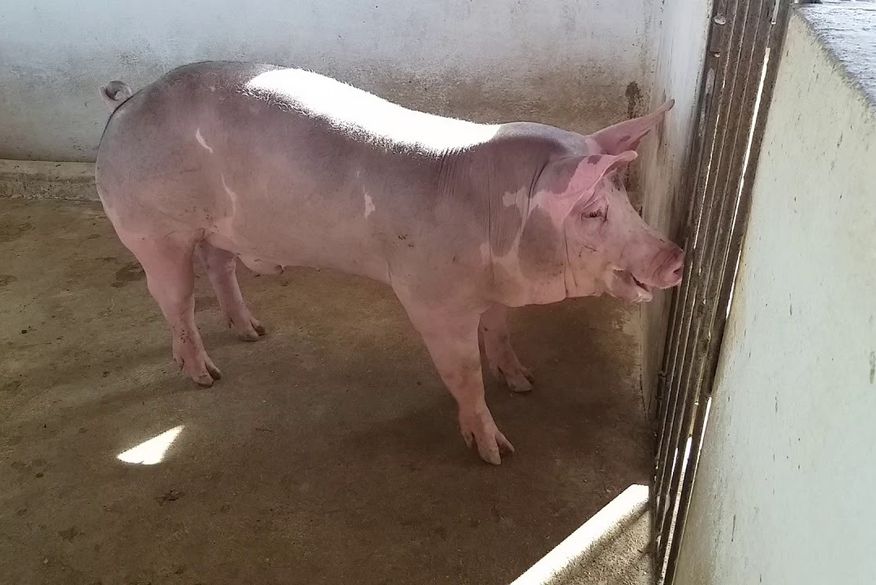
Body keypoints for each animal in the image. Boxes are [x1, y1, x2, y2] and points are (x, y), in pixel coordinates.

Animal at [95, 61, 683, 464]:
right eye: (593, 212)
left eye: (625, 199)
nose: (675, 256)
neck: (499, 219)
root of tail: (127, 103)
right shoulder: (431, 296)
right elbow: (463, 372)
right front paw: (497, 452)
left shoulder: (490, 290)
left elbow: (500, 332)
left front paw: (524, 382)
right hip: (151, 230)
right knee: (175, 301)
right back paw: (205, 376)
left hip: (218, 226)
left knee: (220, 266)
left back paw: (254, 332)